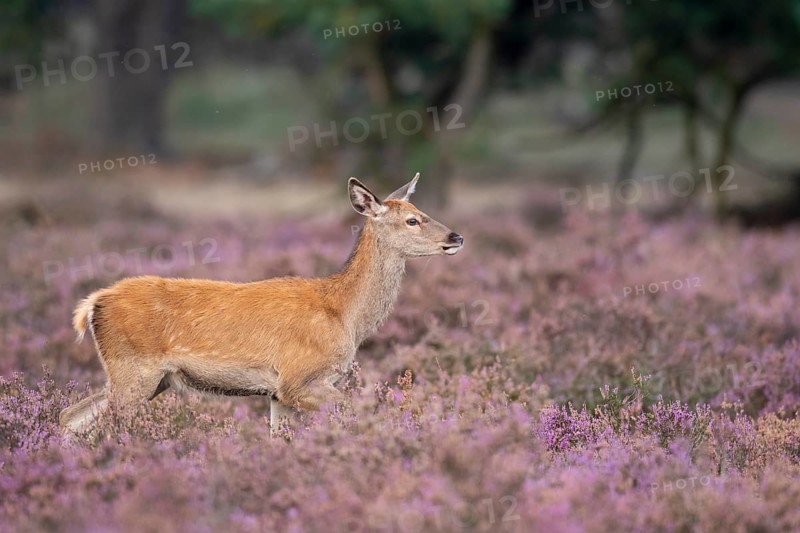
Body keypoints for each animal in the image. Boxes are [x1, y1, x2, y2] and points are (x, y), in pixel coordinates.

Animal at [59, 173, 463, 437]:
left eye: (421, 210)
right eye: (412, 220)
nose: (456, 236)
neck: (343, 314)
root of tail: (93, 304)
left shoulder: (276, 393)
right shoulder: (298, 378)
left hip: (147, 379)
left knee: (70, 415)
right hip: (133, 371)